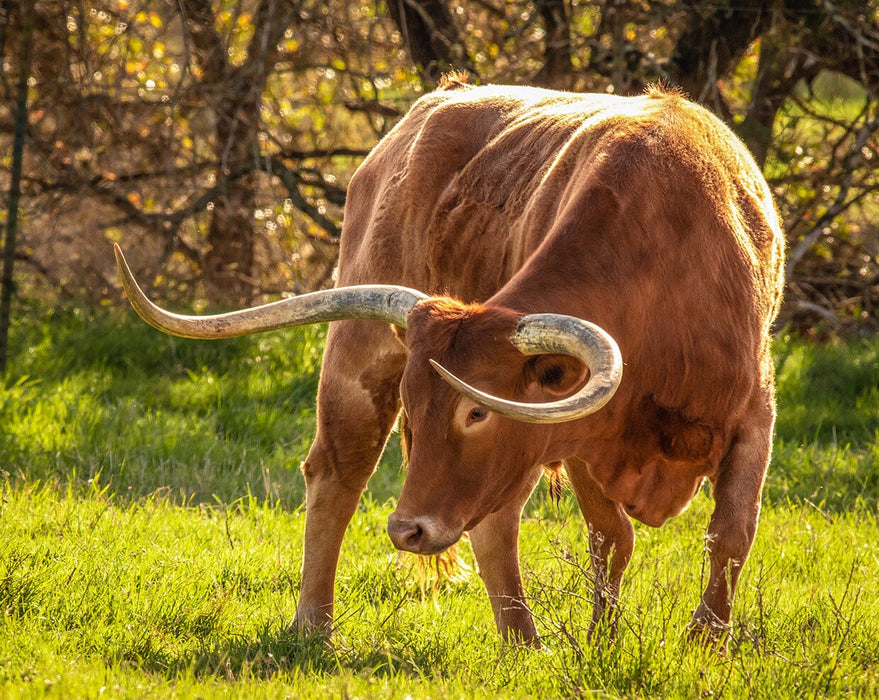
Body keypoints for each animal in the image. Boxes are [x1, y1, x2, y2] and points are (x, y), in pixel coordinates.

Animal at [115, 80, 784, 644]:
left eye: (476, 413)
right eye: (414, 409)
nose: (406, 530)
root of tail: (428, 108)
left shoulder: (754, 414)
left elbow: (732, 534)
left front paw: (703, 643)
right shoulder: (579, 436)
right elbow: (611, 536)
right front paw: (603, 643)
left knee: (491, 518)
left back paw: (519, 641)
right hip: (361, 360)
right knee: (341, 475)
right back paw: (321, 627)